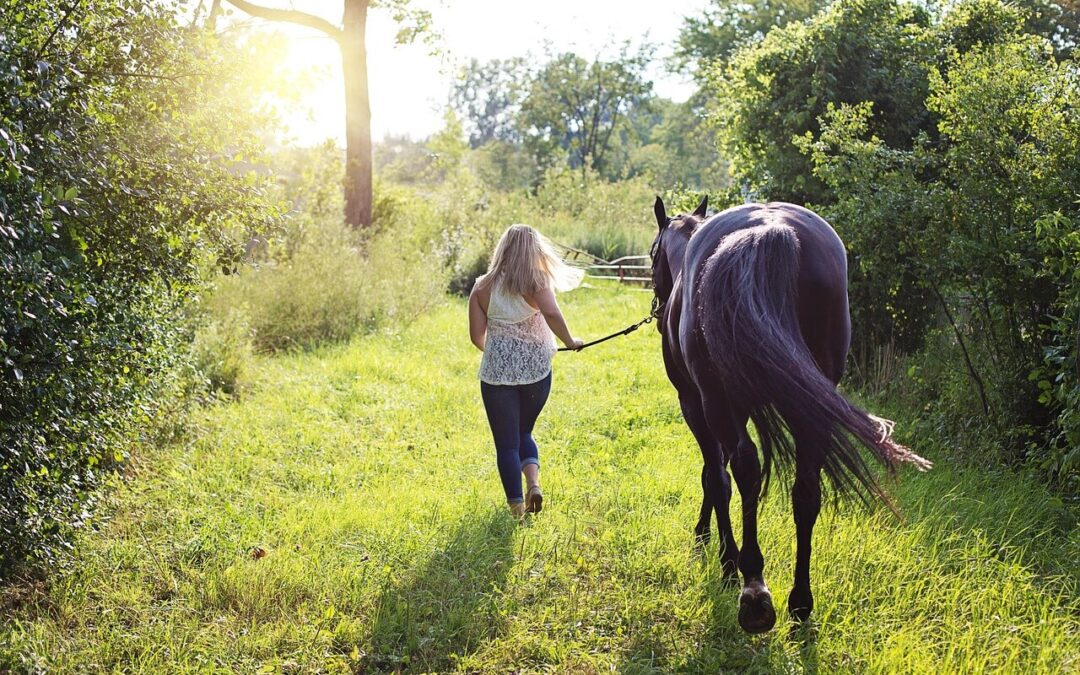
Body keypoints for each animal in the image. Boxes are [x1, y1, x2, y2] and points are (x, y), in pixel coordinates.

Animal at [650, 196, 931, 633]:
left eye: (651, 255)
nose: (658, 306)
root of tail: (771, 230)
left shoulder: (694, 403)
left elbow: (715, 476)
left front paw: (721, 556)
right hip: (810, 407)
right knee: (806, 491)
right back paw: (800, 602)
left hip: (718, 402)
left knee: (745, 469)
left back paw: (753, 589)